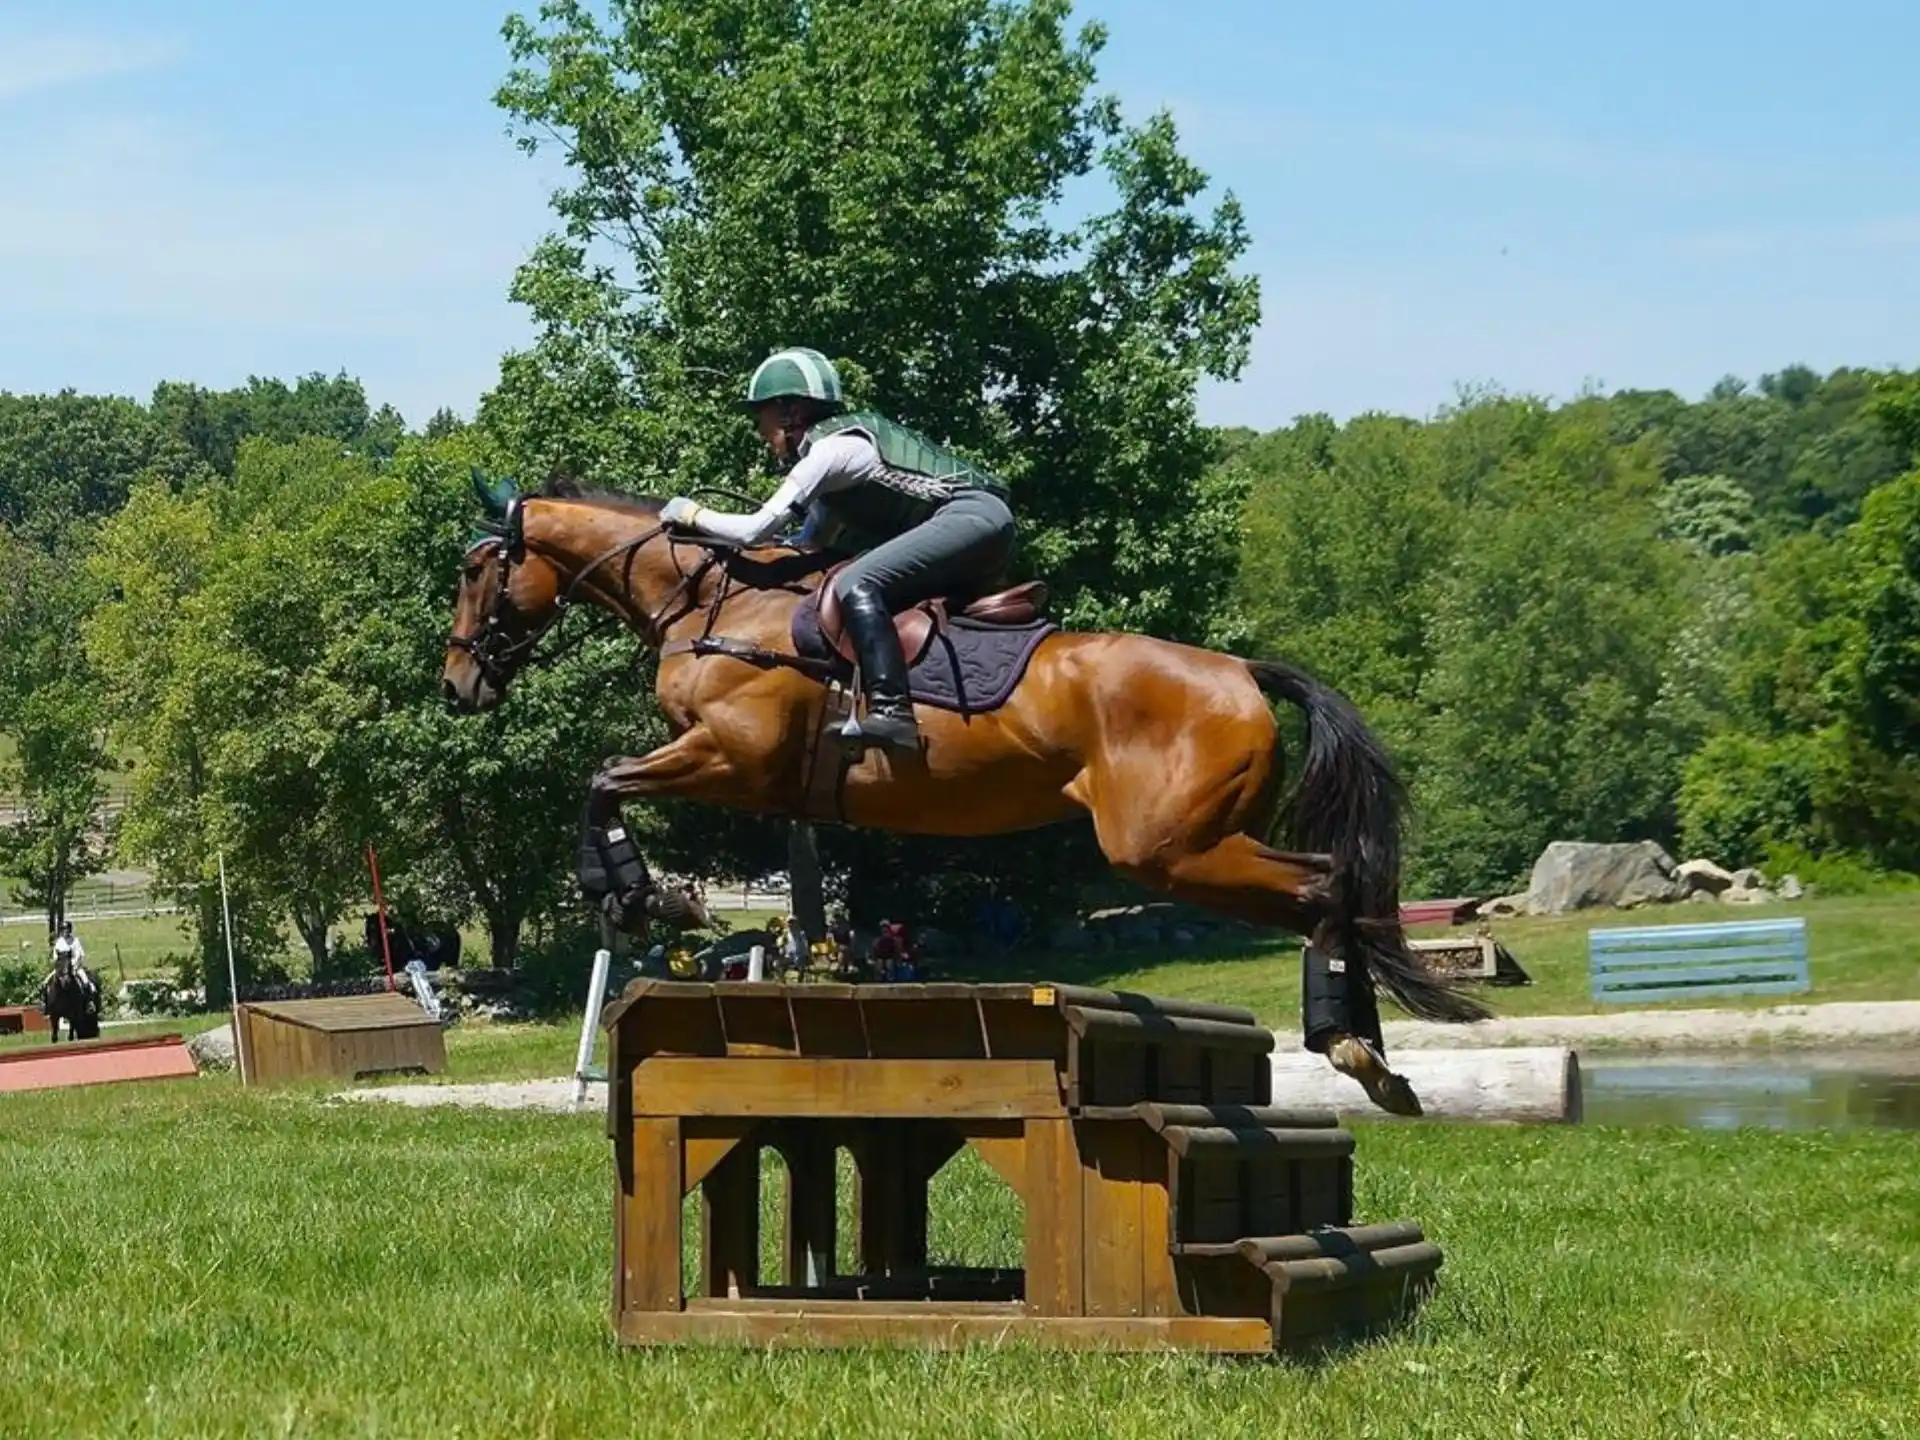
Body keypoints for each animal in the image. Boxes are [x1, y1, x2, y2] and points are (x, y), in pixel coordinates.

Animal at [440, 475, 1489, 1112]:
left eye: (475, 570)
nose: (458, 687)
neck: (717, 604)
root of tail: (1239, 670)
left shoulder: (735, 759)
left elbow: (601, 781)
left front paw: (640, 893)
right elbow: (607, 781)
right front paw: (647, 895)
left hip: (1170, 849)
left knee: (1324, 886)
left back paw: (1350, 1048)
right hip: (1195, 847)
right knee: (1333, 887)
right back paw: (1377, 1061)